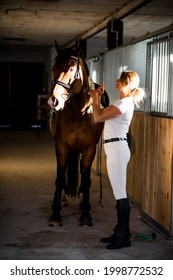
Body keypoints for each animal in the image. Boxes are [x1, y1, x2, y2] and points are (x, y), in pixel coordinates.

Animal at [48, 42, 109, 228]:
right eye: (53, 68)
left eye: (70, 69)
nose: (53, 101)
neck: (80, 112)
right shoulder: (61, 147)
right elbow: (60, 177)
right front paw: (55, 214)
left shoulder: (89, 149)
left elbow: (87, 179)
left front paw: (86, 216)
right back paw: (64, 200)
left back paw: (83, 203)